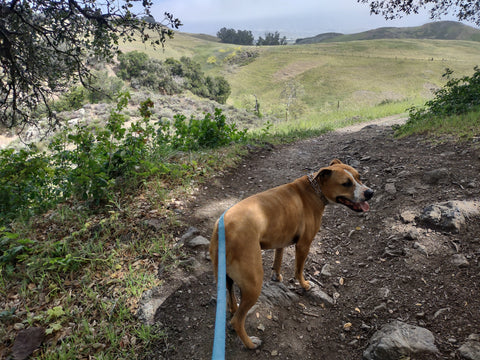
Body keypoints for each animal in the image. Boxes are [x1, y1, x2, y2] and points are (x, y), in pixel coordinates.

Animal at [209, 160, 372, 348]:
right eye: (346, 183)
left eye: (359, 177)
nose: (370, 193)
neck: (314, 189)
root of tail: (223, 231)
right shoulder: (303, 245)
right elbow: (298, 270)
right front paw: (304, 285)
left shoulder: (280, 239)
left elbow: (278, 259)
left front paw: (277, 276)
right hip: (253, 284)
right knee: (237, 321)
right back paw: (251, 344)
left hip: (228, 278)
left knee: (231, 296)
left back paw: (233, 309)